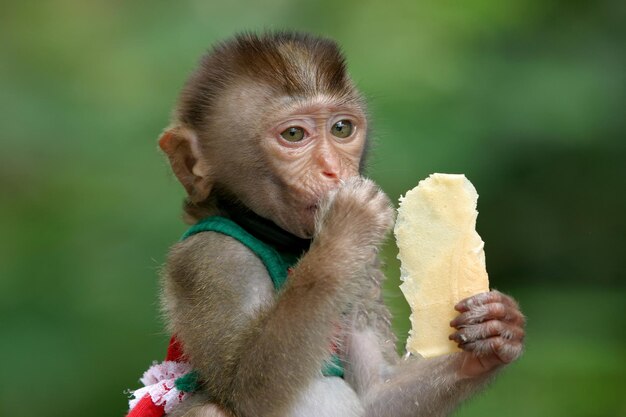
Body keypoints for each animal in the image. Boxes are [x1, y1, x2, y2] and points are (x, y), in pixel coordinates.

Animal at [140, 30, 520, 414]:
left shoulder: (365, 268)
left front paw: (499, 327)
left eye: (341, 128)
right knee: (216, 404)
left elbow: (377, 396)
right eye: (294, 135)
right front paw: (347, 225)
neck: (274, 236)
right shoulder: (211, 258)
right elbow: (244, 386)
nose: (334, 170)